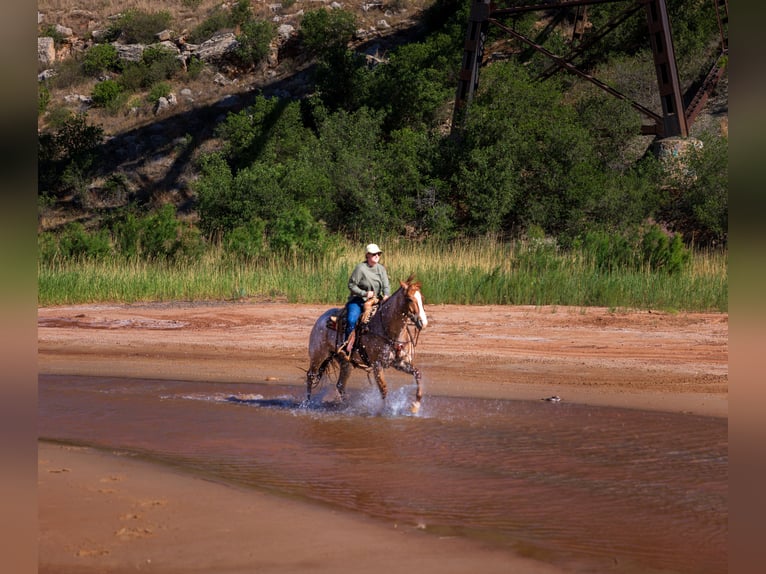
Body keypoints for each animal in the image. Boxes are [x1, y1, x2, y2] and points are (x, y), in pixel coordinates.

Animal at [306, 274, 428, 414]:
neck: (388, 330)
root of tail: (321, 319)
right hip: (318, 356)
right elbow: (383, 389)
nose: (423, 322)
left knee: (340, 385)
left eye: (422, 298)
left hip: (346, 363)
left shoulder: (400, 363)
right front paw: (385, 410)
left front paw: (415, 406)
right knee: (310, 377)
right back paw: (307, 404)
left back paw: (346, 406)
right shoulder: (377, 365)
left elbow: (418, 374)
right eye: (409, 299)